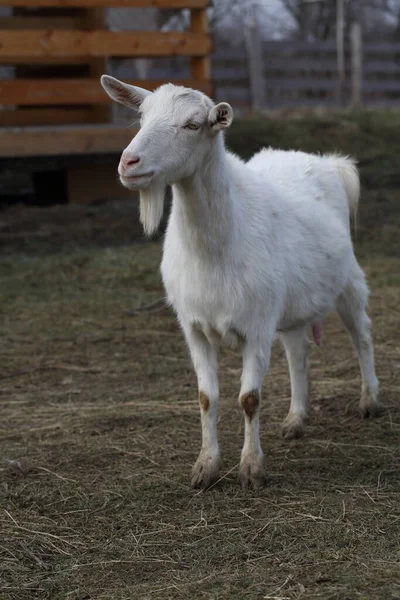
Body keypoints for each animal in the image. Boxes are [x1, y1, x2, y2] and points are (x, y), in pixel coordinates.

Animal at [101, 75, 382, 490]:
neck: (214, 248)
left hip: (347, 280)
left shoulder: (257, 326)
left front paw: (251, 468)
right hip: (292, 301)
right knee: (298, 351)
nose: (128, 162)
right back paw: (296, 419)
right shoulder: (194, 328)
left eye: (192, 124)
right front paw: (205, 467)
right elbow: (206, 397)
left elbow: (249, 398)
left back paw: (370, 401)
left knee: (361, 333)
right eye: (141, 116)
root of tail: (325, 161)